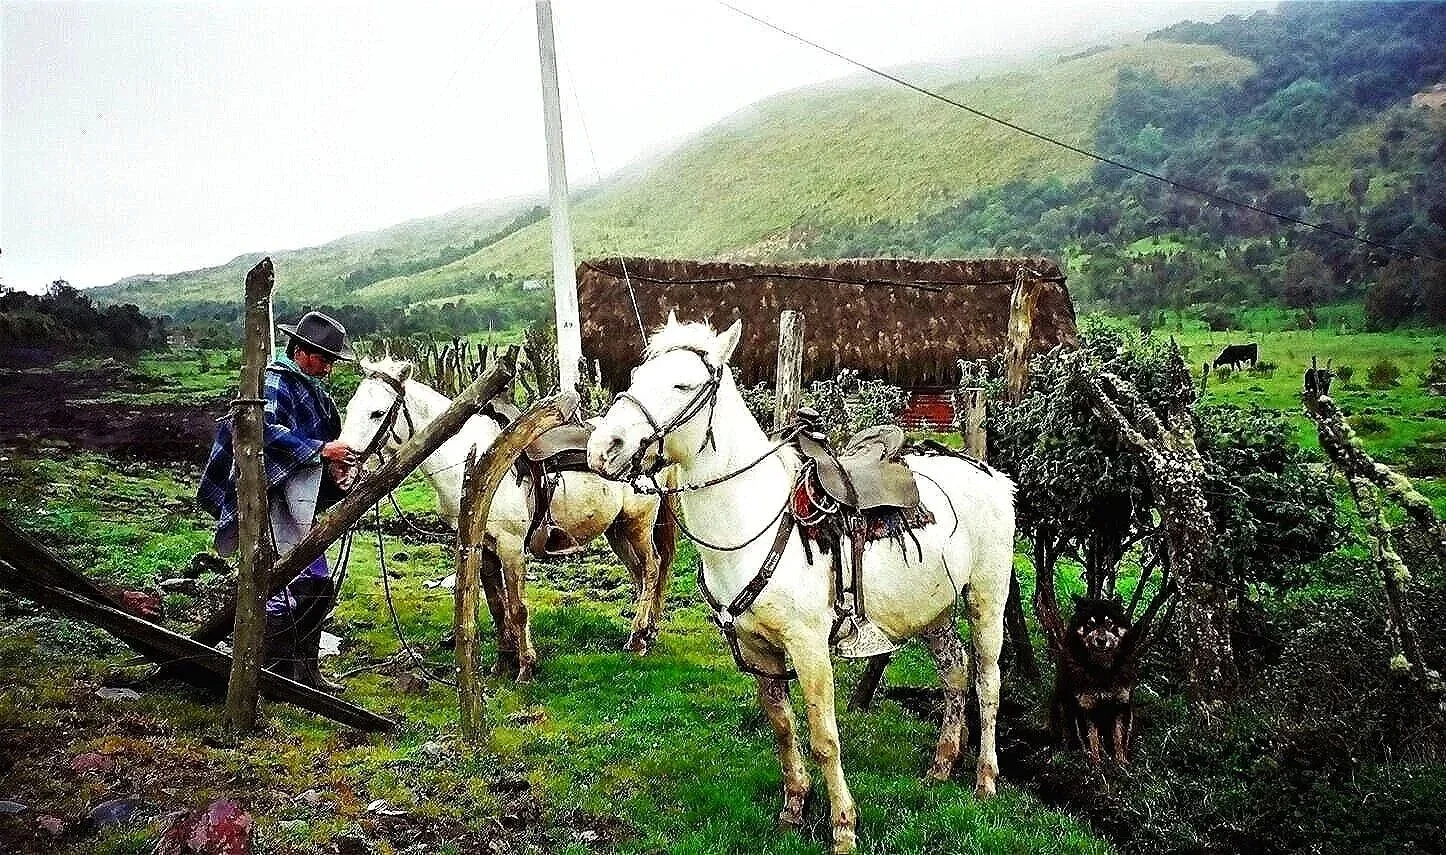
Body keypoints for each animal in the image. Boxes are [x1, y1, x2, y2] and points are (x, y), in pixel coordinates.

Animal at [339, 359, 676, 681]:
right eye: (351, 407)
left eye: (377, 413)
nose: (345, 465)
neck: (475, 464)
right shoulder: (482, 549)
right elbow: (497, 606)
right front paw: (503, 664)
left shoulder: (511, 546)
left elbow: (517, 608)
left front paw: (526, 668)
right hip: (617, 530)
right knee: (640, 574)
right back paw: (648, 631)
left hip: (637, 524)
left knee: (651, 568)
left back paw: (637, 638)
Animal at [586, 316, 1015, 854]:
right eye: (636, 376)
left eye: (683, 385)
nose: (603, 449)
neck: (753, 517)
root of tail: (991, 475)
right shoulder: (760, 651)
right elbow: (783, 728)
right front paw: (794, 806)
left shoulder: (809, 647)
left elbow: (824, 737)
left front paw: (843, 826)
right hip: (931, 610)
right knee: (955, 675)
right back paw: (941, 765)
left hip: (986, 600)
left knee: (987, 681)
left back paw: (984, 778)